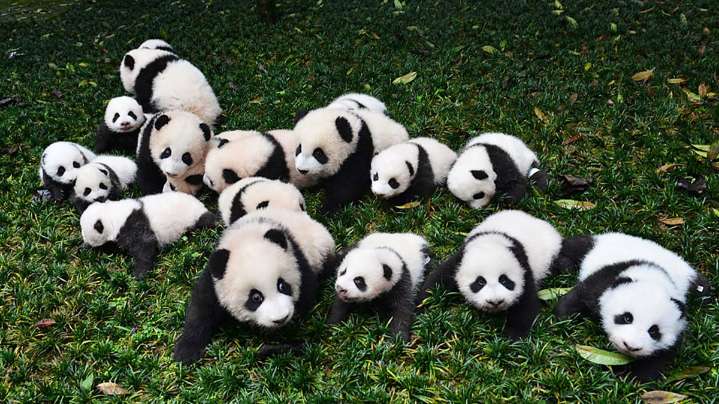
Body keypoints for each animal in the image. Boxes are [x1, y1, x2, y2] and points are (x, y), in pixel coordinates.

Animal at [80, 192, 216, 279]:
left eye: (84, 233)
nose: (85, 242)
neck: (112, 215)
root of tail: (200, 204)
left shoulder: (132, 225)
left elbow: (145, 246)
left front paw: (139, 274)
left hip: (194, 216)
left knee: (207, 221)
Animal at [173, 208, 336, 364]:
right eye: (256, 297)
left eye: (282, 286)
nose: (281, 318)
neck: (247, 237)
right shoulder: (216, 277)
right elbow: (202, 307)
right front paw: (185, 352)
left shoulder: (297, 259)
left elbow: (307, 293)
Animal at [418, 210, 562, 339]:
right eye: (480, 282)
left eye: (504, 280)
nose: (495, 302)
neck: (491, 243)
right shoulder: (459, 260)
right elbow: (438, 280)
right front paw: (420, 304)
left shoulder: (523, 266)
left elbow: (525, 303)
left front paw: (512, 338)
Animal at [554, 233, 711, 381]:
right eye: (627, 318)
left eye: (654, 331)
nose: (630, 346)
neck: (656, 278)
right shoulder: (608, 279)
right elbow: (581, 295)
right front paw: (563, 322)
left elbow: (658, 358)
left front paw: (632, 378)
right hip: (597, 244)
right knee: (574, 247)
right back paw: (565, 264)